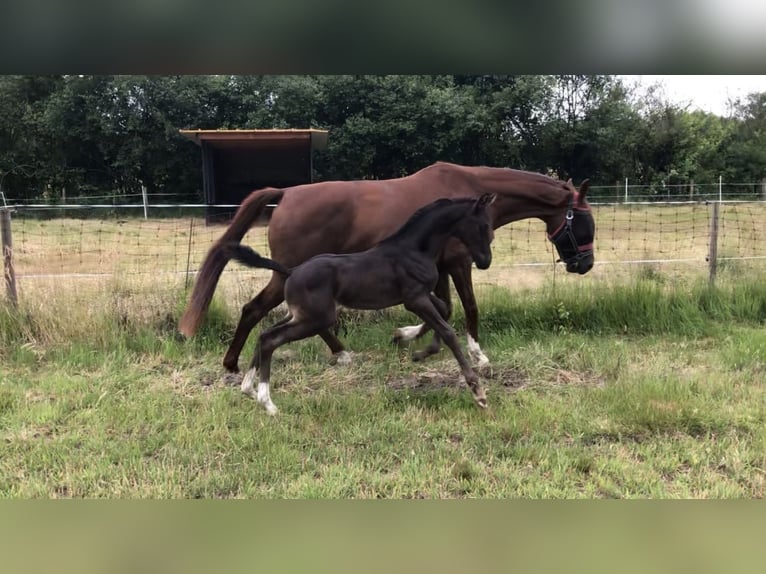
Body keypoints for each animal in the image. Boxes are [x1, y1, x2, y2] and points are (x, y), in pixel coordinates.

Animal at [178, 160, 592, 372]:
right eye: (586, 222)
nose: (585, 264)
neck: (467, 190)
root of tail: (286, 195)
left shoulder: (438, 270)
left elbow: (444, 309)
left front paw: (408, 337)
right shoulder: (459, 264)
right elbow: (467, 308)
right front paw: (478, 355)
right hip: (289, 275)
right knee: (257, 309)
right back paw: (236, 363)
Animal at [222, 196, 498, 416]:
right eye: (484, 226)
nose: (485, 262)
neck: (414, 249)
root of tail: (291, 271)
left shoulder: (421, 297)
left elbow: (444, 310)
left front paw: (411, 343)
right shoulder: (415, 299)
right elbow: (448, 331)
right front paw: (478, 393)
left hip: (301, 315)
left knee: (264, 334)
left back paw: (249, 389)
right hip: (315, 319)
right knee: (271, 339)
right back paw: (267, 402)